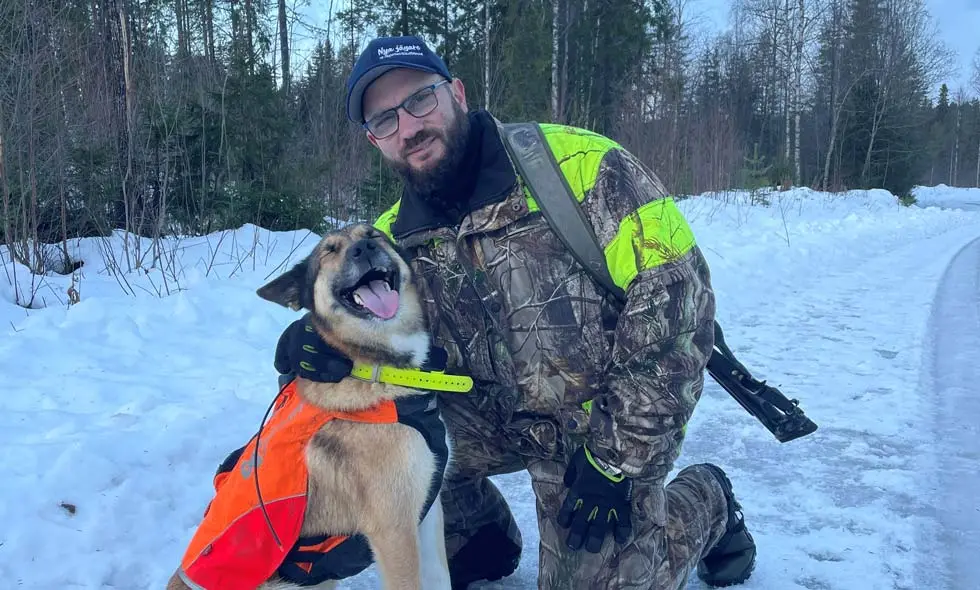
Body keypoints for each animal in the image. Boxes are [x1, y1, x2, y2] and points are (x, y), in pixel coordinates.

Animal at [167, 223, 456, 590]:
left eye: (373, 234)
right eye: (330, 251)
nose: (363, 249)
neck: (374, 367)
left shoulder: (427, 513)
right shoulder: (394, 529)